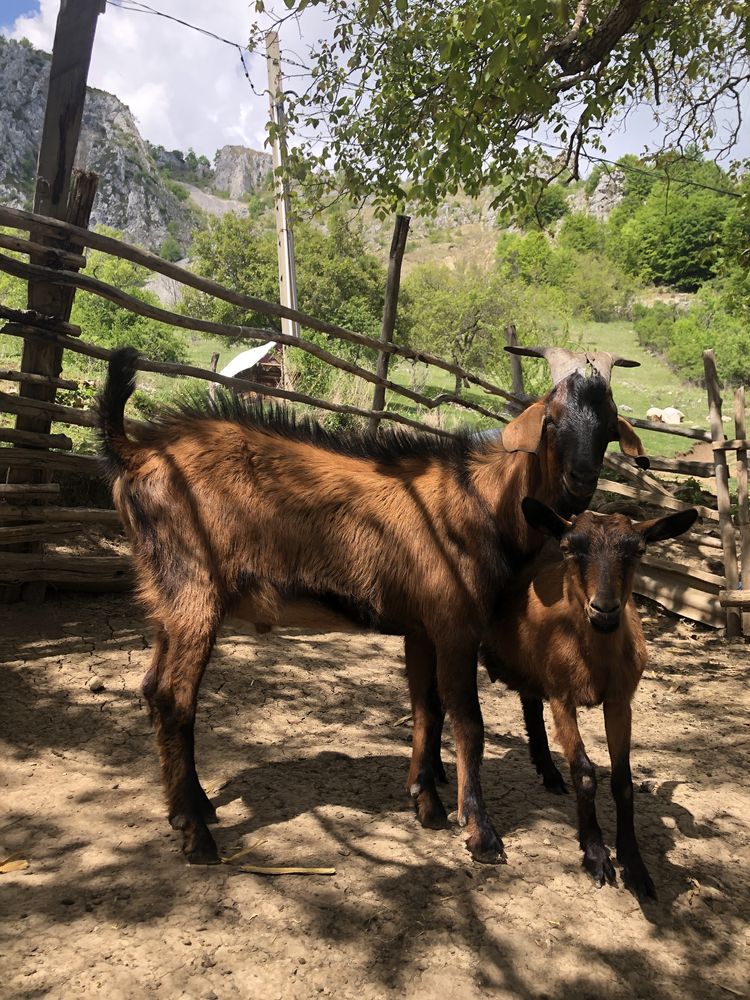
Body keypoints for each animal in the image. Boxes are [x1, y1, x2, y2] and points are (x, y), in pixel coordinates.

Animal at [98, 348, 648, 864]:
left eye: (608, 427)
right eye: (551, 419)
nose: (583, 478)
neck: (483, 504)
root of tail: (135, 451)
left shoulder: (422, 627)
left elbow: (427, 708)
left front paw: (426, 803)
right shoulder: (456, 624)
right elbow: (468, 722)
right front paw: (480, 832)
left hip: (165, 597)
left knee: (152, 687)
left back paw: (193, 806)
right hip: (194, 591)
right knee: (174, 698)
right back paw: (196, 834)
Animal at [482, 500, 700, 900]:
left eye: (638, 551)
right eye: (570, 549)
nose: (605, 609)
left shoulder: (619, 702)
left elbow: (623, 779)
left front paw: (635, 865)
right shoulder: (562, 698)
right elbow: (584, 772)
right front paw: (596, 855)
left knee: (529, 705)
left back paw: (549, 774)